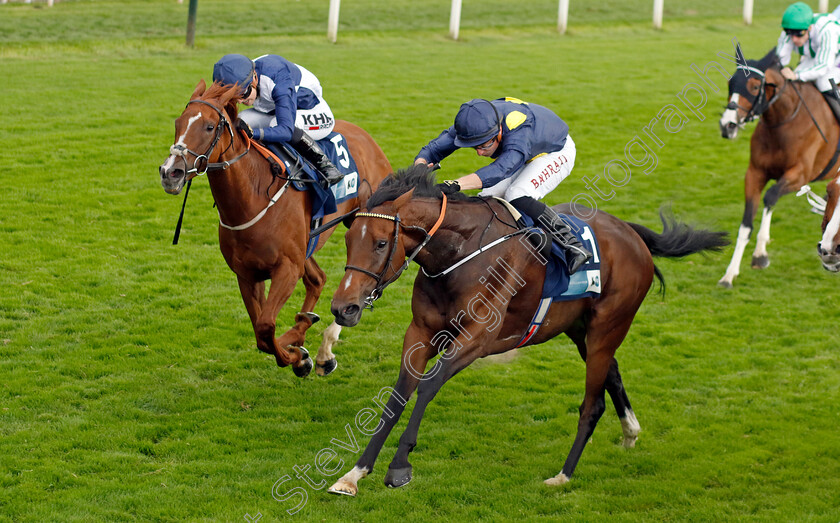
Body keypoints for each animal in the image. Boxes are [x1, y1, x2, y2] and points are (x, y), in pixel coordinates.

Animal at [160, 81, 390, 376]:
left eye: (210, 127)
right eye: (178, 123)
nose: (170, 172)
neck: (253, 198)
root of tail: (367, 137)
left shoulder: (287, 269)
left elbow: (266, 326)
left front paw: (300, 348)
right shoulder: (248, 275)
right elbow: (262, 335)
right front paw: (299, 351)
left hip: (365, 223)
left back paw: (325, 349)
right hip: (305, 246)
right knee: (317, 279)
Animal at [324, 168, 724, 496]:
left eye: (380, 243)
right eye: (347, 241)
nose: (343, 308)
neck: (461, 253)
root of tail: (631, 232)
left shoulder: (477, 339)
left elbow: (427, 386)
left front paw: (399, 467)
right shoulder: (421, 332)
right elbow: (398, 395)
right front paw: (355, 473)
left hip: (607, 328)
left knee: (592, 404)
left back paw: (563, 474)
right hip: (582, 330)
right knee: (612, 372)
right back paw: (630, 432)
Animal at [716, 47, 840, 288]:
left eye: (755, 87)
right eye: (730, 83)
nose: (728, 125)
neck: (782, 123)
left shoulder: (799, 175)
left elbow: (771, 196)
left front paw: (760, 254)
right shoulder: (754, 173)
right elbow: (746, 224)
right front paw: (730, 274)